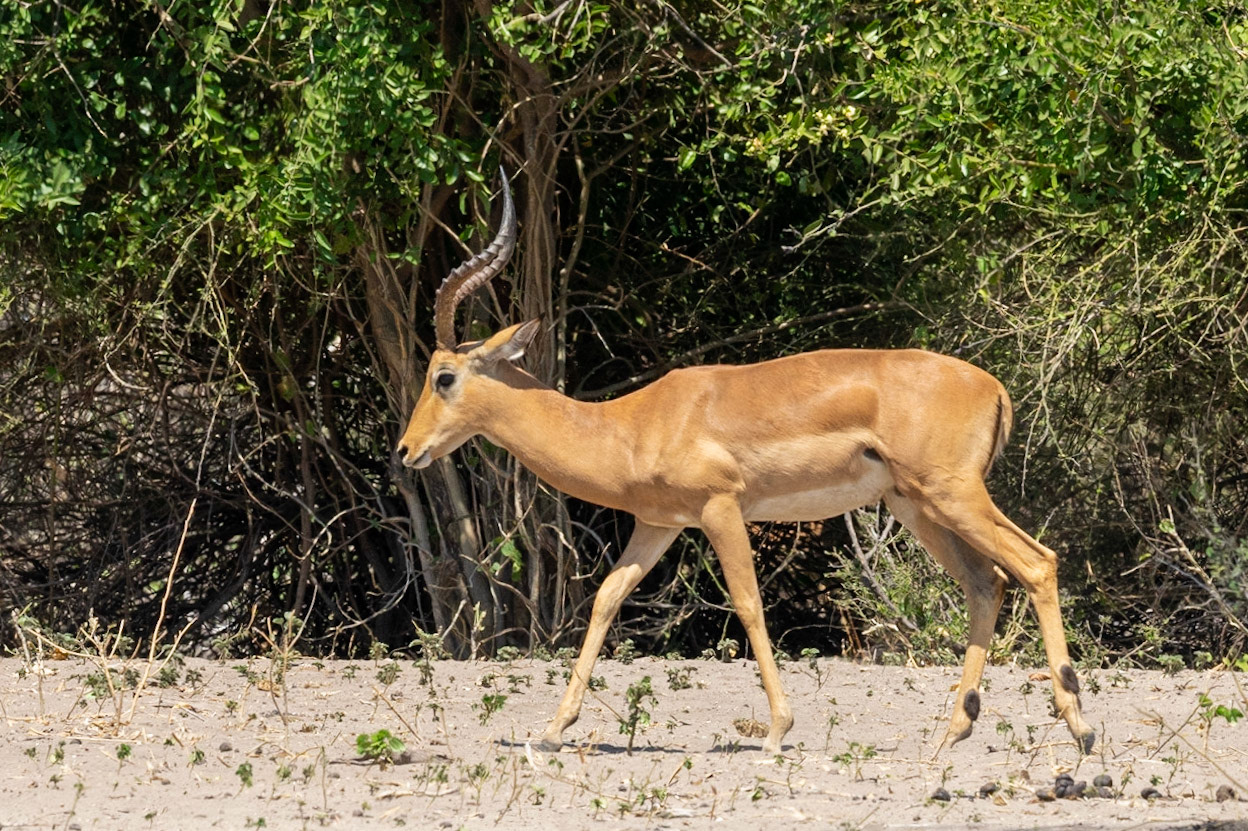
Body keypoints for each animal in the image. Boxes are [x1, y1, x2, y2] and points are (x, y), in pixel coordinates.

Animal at [397, 169, 1095, 756]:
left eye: (444, 376)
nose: (407, 451)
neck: (630, 426)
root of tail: (993, 386)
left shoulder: (720, 509)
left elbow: (749, 602)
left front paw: (778, 730)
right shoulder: (659, 524)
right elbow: (605, 600)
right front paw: (552, 729)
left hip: (952, 494)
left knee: (1037, 563)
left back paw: (1081, 730)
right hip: (915, 505)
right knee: (987, 582)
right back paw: (954, 730)